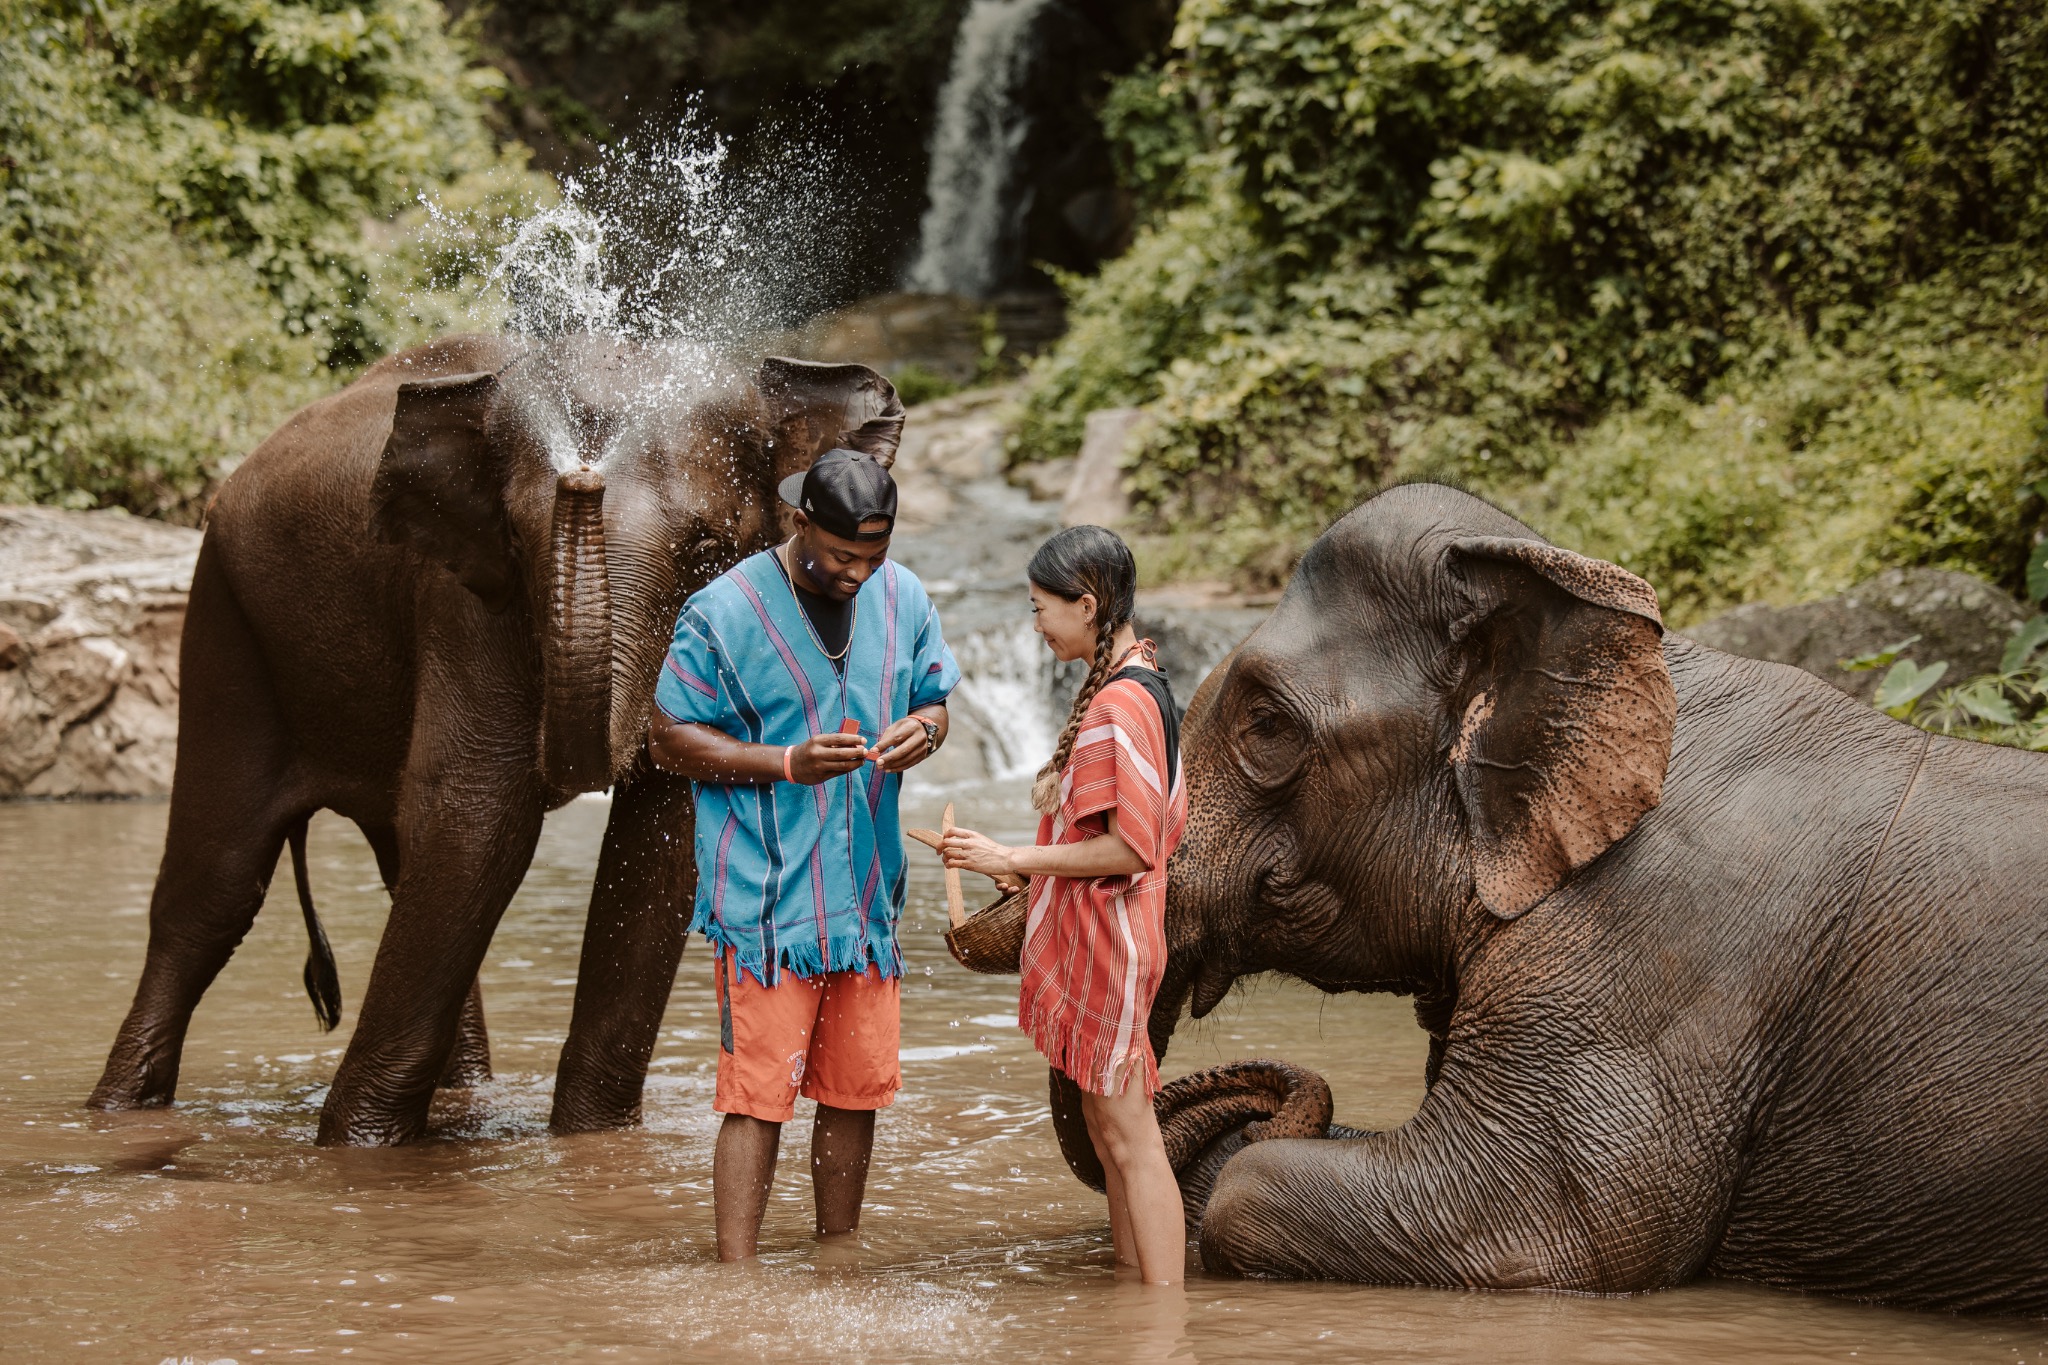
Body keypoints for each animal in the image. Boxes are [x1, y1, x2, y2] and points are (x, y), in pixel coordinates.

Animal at [87, 331, 904, 1146]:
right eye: (518, 535)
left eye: (705, 547)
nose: (581, 470)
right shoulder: (463, 597)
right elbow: (480, 818)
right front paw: (354, 1150)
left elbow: (663, 832)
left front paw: (590, 1140)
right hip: (224, 622)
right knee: (217, 887)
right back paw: (115, 1111)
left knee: (399, 859)